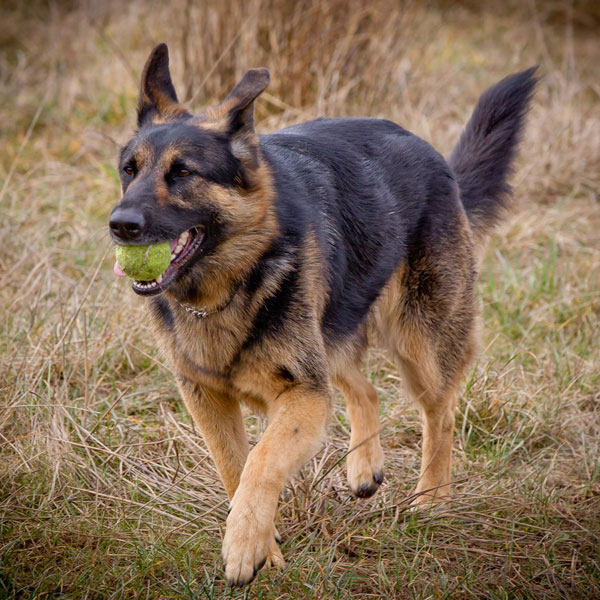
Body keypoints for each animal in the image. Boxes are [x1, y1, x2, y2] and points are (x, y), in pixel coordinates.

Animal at [108, 43, 536, 584]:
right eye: (129, 169)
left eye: (183, 173)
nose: (120, 225)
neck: (229, 285)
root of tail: (432, 155)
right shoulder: (208, 397)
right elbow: (234, 468)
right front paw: (263, 547)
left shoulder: (303, 395)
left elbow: (261, 462)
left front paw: (244, 547)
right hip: (333, 333)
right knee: (365, 388)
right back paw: (364, 468)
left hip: (419, 340)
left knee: (440, 413)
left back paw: (431, 499)